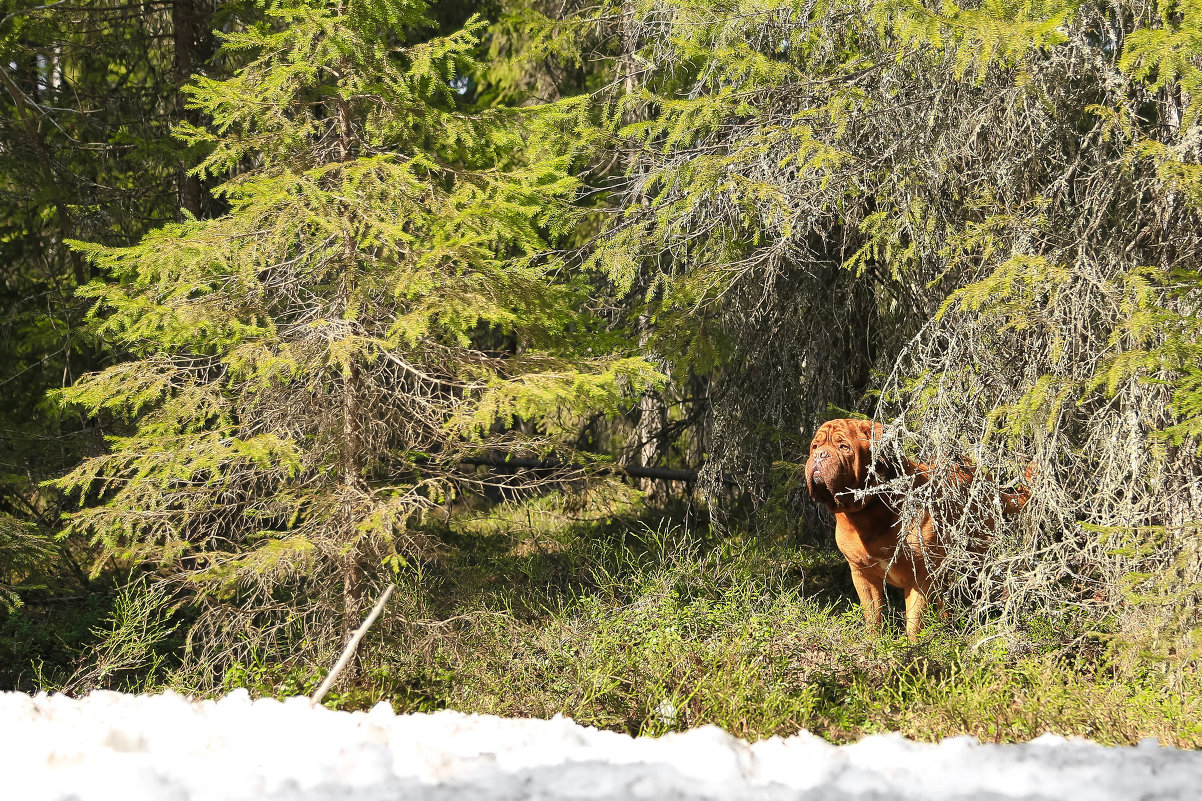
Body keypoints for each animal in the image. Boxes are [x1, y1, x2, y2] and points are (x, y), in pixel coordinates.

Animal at [802, 418, 1028, 635]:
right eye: (815, 446)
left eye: (844, 447)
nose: (820, 455)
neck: (868, 514)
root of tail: (983, 477)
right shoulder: (862, 575)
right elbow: (873, 617)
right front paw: (874, 643)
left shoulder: (918, 576)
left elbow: (914, 622)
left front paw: (912, 646)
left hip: (976, 555)